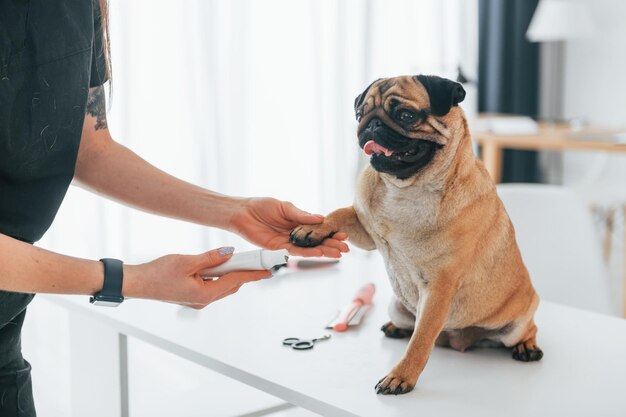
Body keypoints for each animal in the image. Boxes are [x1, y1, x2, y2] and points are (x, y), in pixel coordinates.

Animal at [290, 73, 540, 394]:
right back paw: (396, 327)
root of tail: (458, 339)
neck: (406, 189)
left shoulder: (439, 289)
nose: (371, 124)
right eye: (360, 114)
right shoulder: (365, 232)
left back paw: (527, 348)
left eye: (406, 116)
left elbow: (420, 341)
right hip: (396, 306)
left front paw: (401, 375)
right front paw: (313, 227)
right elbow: (338, 214)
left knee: (527, 329)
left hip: (515, 324)